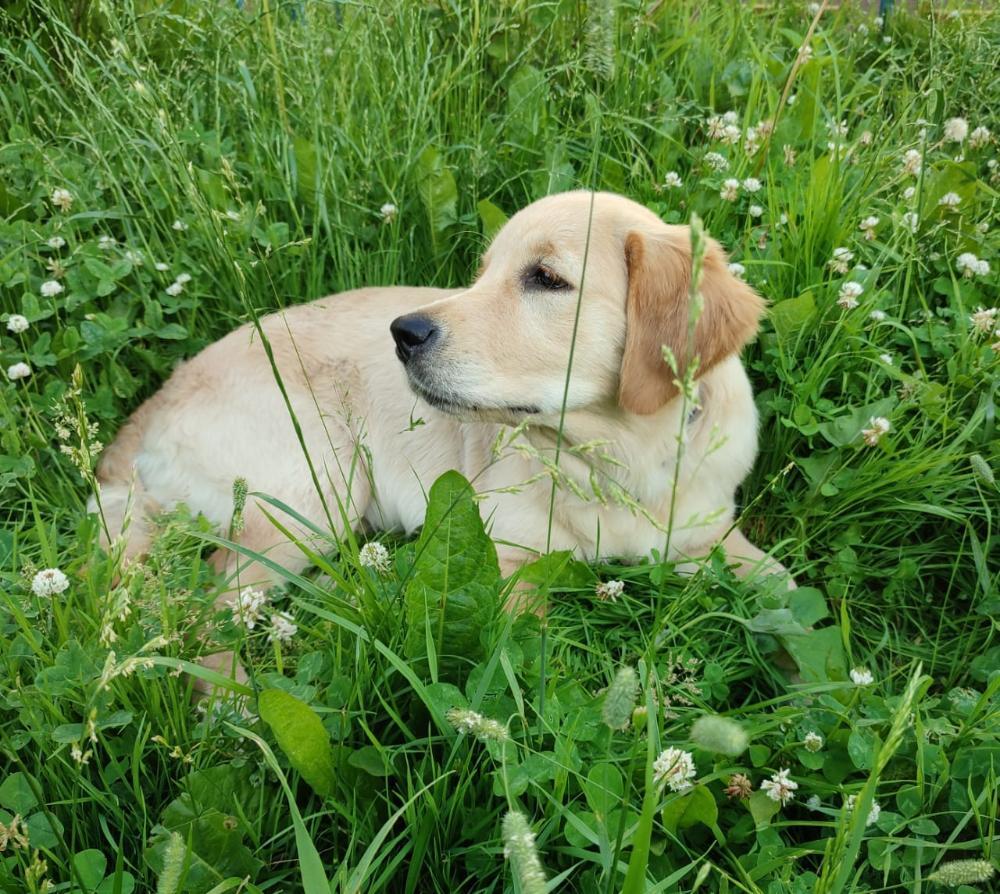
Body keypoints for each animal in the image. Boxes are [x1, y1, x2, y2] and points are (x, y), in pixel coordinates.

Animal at [90, 191, 792, 680]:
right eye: (482, 272)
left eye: (546, 278)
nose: (403, 334)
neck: (616, 460)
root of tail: (150, 410)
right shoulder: (508, 559)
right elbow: (533, 653)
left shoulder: (709, 535)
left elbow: (787, 591)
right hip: (312, 495)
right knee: (206, 615)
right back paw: (235, 706)